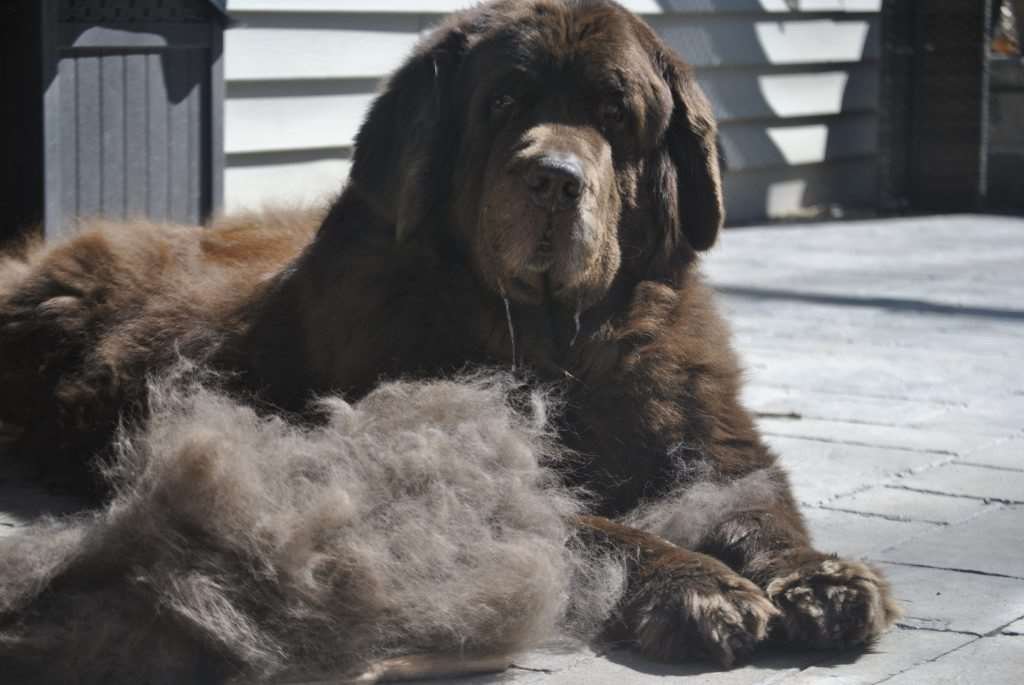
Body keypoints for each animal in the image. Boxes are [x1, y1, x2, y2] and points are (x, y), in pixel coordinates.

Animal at [0, 0, 897, 671]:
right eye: (503, 103)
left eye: (614, 114)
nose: (556, 178)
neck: (556, 345)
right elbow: (597, 526)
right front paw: (701, 585)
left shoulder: (715, 442)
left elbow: (760, 506)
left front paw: (821, 579)